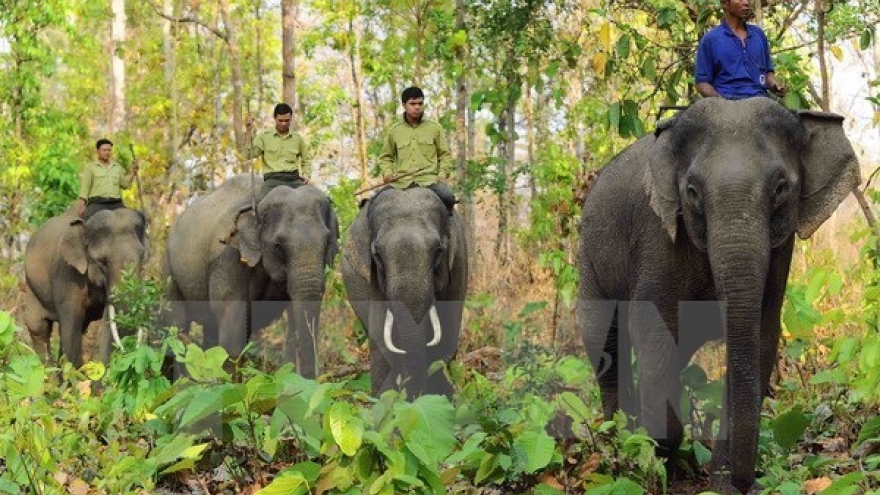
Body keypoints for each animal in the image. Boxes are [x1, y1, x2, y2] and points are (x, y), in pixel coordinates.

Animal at [22, 206, 150, 368]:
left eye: (142, 257)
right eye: (103, 262)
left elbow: (107, 323)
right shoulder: (67, 275)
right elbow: (71, 327)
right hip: (32, 288)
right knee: (39, 327)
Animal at [165, 176, 340, 378]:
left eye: (327, 241)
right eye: (278, 244)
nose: (311, 379)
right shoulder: (228, 256)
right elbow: (231, 315)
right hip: (168, 270)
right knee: (177, 324)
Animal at [342, 188, 468, 402]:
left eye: (438, 251)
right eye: (377, 255)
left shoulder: (458, 267)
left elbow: (446, 336)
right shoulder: (373, 281)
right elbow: (380, 336)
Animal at [576, 98, 860, 495]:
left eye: (780, 187)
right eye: (692, 191)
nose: (745, 483)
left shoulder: (780, 251)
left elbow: (760, 335)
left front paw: (720, 481)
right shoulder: (658, 237)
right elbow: (654, 329)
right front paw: (662, 455)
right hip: (589, 258)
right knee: (605, 340)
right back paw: (622, 443)